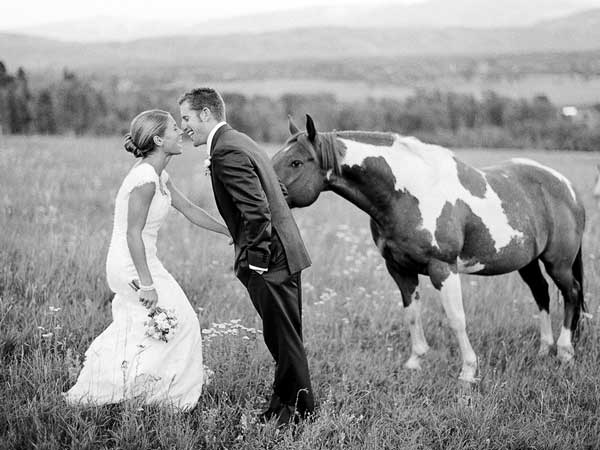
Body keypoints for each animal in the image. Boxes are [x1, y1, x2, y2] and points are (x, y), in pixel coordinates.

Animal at [274, 114, 584, 382]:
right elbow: (412, 313)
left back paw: (565, 352)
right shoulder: (399, 269)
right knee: (541, 293)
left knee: (571, 293)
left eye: (296, 162)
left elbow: (456, 319)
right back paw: (545, 349)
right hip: (527, 262)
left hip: (558, 262)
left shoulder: (443, 269)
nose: (269, 195)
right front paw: (415, 361)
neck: (408, 195)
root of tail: (567, 186)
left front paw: (468, 372)